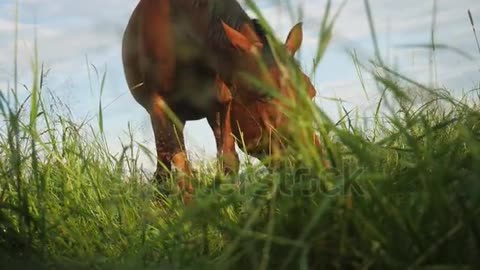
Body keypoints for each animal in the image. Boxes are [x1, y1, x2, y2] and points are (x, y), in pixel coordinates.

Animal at [122, 0, 320, 198]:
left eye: (311, 91)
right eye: (264, 94)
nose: (316, 162)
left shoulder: (221, 104)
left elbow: (228, 160)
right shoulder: (159, 105)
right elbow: (180, 163)